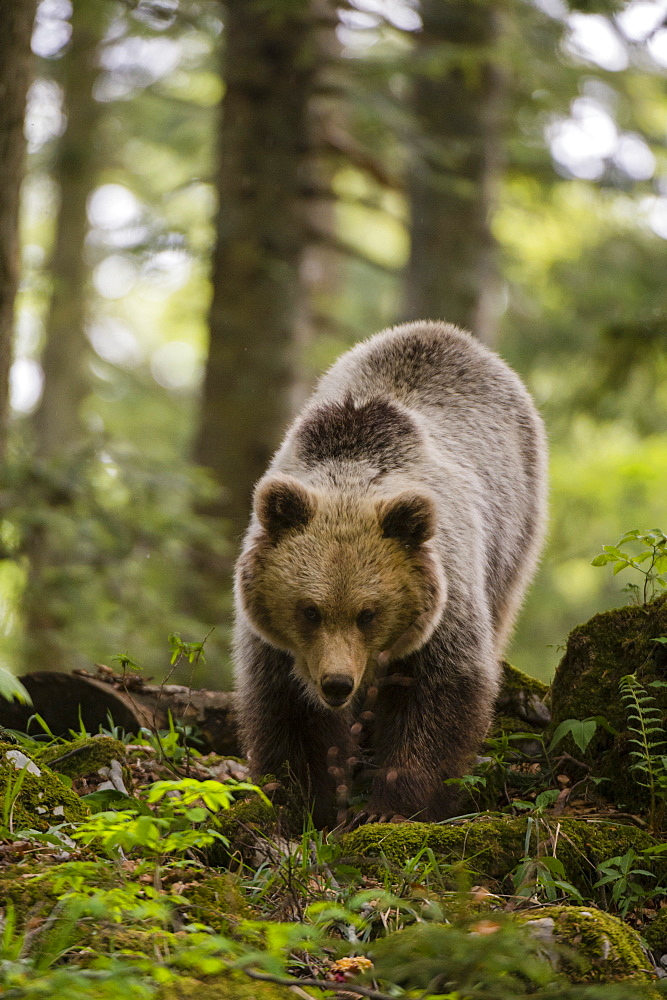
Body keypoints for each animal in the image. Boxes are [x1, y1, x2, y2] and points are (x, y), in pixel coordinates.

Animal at [235, 320, 548, 828]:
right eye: (309, 610)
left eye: (369, 612)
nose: (337, 684)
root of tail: (451, 335)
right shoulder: (275, 640)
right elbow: (288, 708)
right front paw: (306, 800)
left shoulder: (446, 598)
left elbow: (439, 694)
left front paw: (390, 806)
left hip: (515, 522)